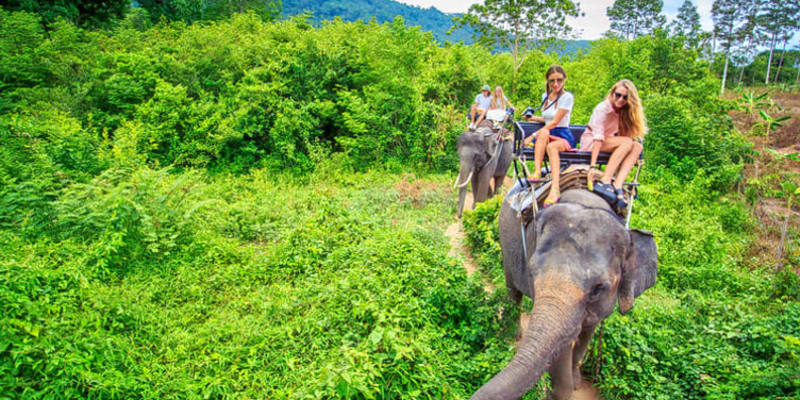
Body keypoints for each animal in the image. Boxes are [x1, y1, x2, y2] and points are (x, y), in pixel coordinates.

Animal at [471, 189, 658, 400]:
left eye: (598, 288)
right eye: (532, 272)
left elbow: (588, 331)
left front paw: (576, 381)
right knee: (513, 287)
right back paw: (512, 334)